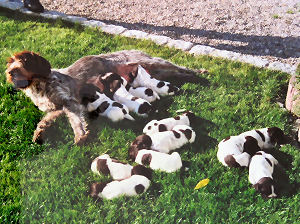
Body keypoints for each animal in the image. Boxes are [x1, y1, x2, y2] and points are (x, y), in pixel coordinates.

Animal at [5, 49, 202, 144]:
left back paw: (200, 73)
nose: (10, 73)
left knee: (182, 68)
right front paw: (39, 133)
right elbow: (45, 120)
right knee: (177, 74)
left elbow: (76, 121)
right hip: (156, 70)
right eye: (11, 64)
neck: (40, 86)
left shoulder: (71, 103)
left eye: (24, 61)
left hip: (155, 63)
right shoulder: (57, 109)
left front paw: (81, 136)